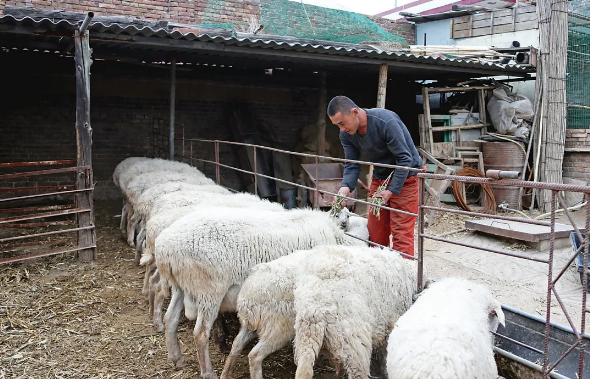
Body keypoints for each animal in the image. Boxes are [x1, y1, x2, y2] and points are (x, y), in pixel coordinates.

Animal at [155, 208, 366, 378]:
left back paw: (176, 359)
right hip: (209, 290)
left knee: (170, 319)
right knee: (200, 333)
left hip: (181, 287)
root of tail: (164, 248)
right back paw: (208, 372)